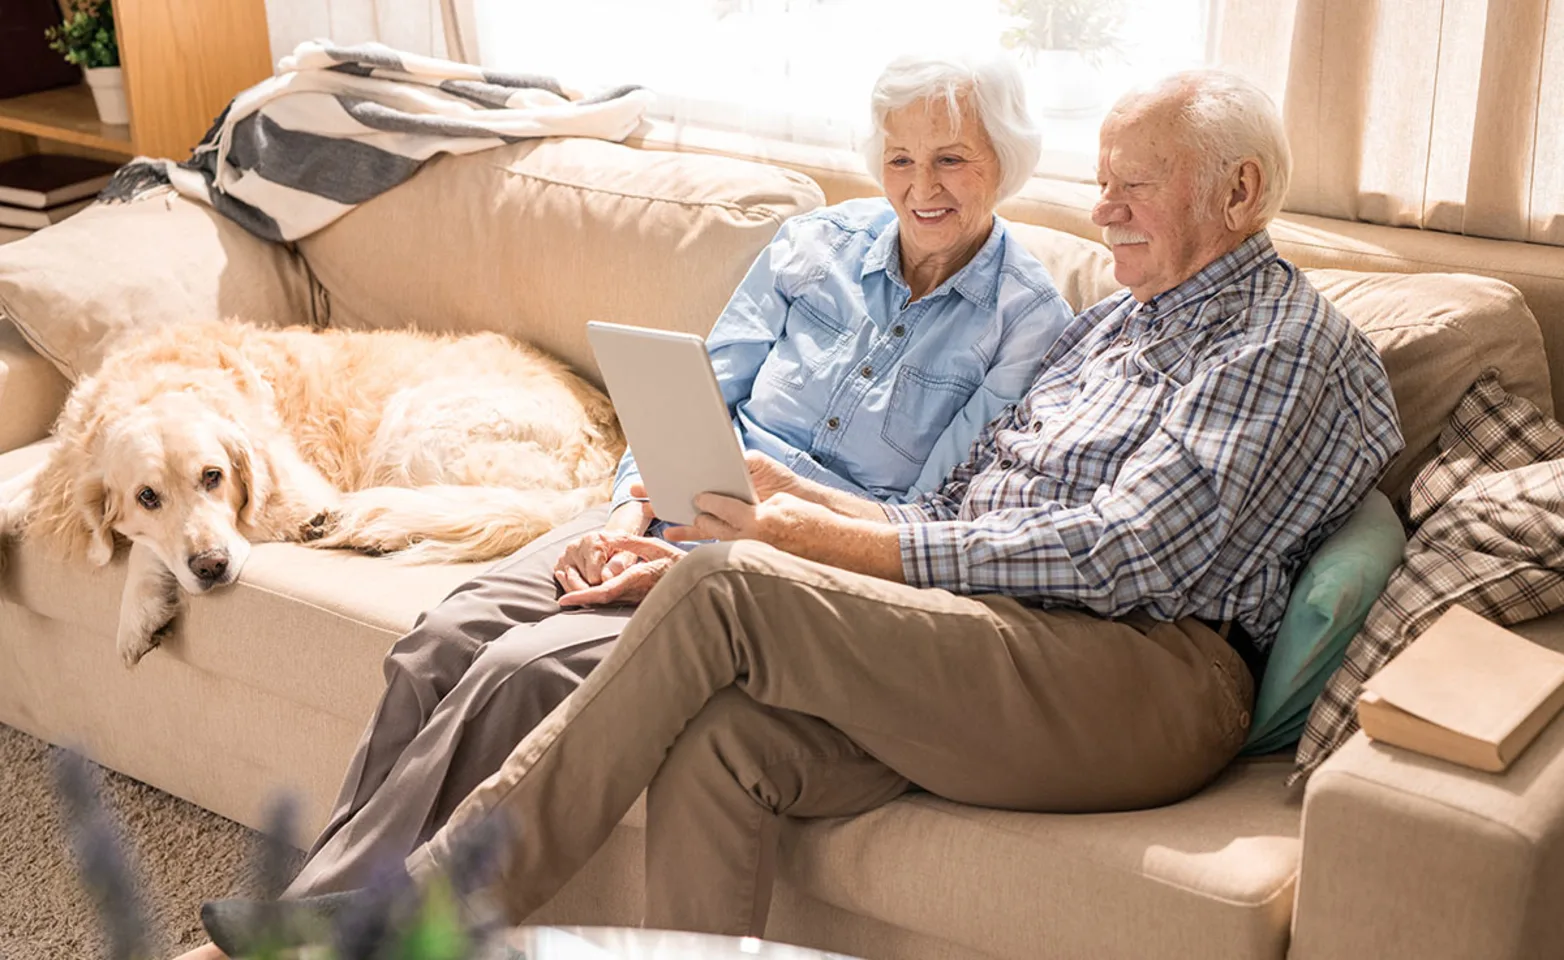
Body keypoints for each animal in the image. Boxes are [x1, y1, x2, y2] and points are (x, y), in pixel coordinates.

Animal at [7, 323, 628, 669]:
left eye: (213, 476)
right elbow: (35, 481)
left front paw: (137, 610)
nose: (212, 566)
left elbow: (146, 548)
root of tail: (611, 443)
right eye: (147, 496)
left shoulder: (295, 492)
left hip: (419, 426)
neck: (160, 381)